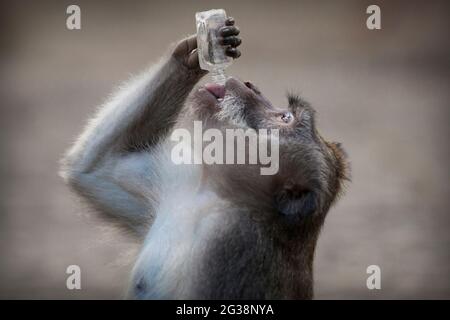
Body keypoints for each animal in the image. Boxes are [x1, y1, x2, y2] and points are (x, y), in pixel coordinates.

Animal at [60, 16, 348, 298]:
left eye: (285, 118)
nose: (251, 86)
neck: (224, 198)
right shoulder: (183, 183)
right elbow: (96, 169)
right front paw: (197, 48)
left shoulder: (237, 247)